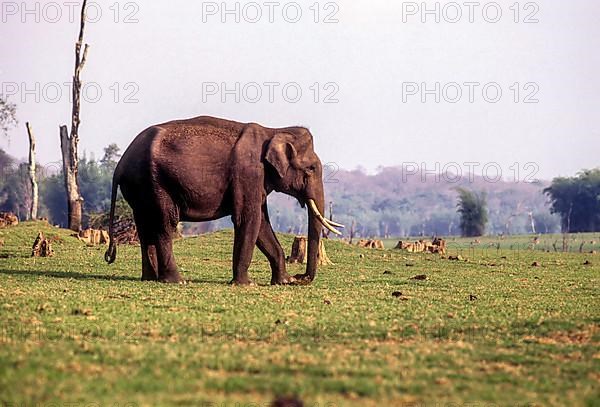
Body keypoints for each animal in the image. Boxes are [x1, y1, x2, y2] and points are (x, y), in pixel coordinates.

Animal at [104, 116, 342, 286]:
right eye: (311, 168)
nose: (301, 278)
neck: (273, 130)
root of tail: (120, 165)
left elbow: (262, 224)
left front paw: (283, 282)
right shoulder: (248, 172)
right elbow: (249, 220)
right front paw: (246, 284)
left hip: (140, 188)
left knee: (145, 226)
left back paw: (150, 278)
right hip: (156, 183)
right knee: (164, 224)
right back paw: (177, 281)